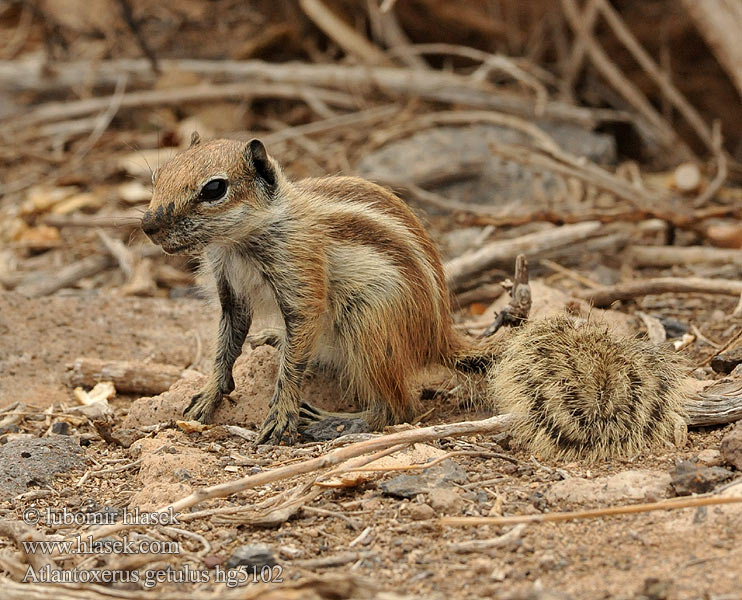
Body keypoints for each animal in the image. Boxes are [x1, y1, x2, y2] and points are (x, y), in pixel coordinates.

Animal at [142, 135, 688, 454]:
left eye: (214, 189)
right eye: (159, 174)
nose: (148, 225)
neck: (243, 238)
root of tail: (438, 336)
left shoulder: (301, 276)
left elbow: (295, 353)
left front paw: (281, 414)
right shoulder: (228, 290)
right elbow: (226, 345)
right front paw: (209, 394)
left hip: (367, 323)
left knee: (398, 408)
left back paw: (338, 423)